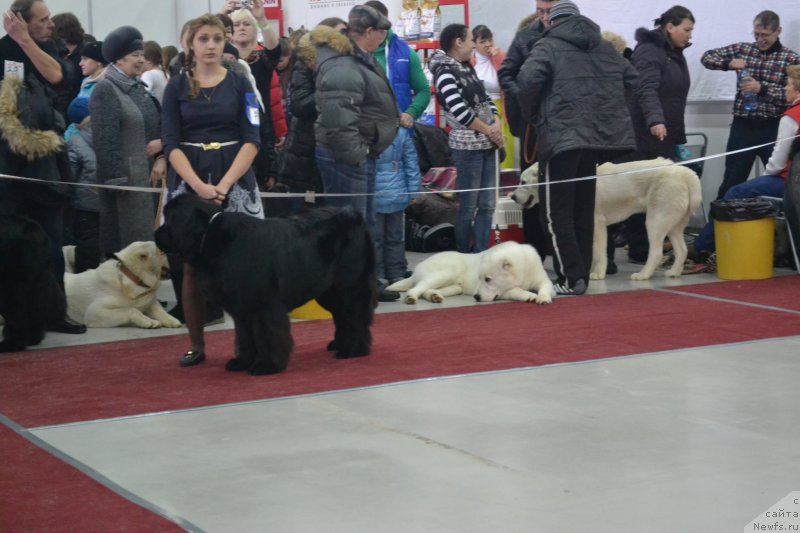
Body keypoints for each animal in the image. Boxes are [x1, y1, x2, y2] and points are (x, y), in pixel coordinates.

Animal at [0, 214, 66, 352]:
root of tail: (30, 228)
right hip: (38, 280)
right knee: (35, 311)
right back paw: (32, 339)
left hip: (10, 284)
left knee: (16, 313)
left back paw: (11, 344)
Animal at [158, 194, 380, 374]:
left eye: (170, 219)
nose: (156, 234)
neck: (209, 234)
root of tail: (355, 214)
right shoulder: (241, 309)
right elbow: (245, 337)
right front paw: (242, 362)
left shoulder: (263, 306)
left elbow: (266, 336)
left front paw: (266, 366)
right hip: (329, 291)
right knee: (341, 316)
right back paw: (339, 344)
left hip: (349, 286)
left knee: (355, 316)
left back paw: (354, 350)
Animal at [386, 241, 552, 304]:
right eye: (481, 278)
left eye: (488, 279)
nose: (476, 297)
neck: (522, 271)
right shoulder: (503, 292)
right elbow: (516, 290)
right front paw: (530, 295)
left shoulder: (544, 280)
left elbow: (545, 287)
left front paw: (543, 297)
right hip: (444, 273)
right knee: (417, 287)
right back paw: (411, 297)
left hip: (454, 287)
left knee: (427, 290)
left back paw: (434, 297)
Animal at [512, 157, 700, 280]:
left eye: (523, 182)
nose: (512, 196)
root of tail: (684, 171)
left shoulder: (597, 225)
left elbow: (599, 253)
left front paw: (597, 274)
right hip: (673, 225)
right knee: (682, 250)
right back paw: (674, 272)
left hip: (655, 221)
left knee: (656, 253)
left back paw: (643, 275)